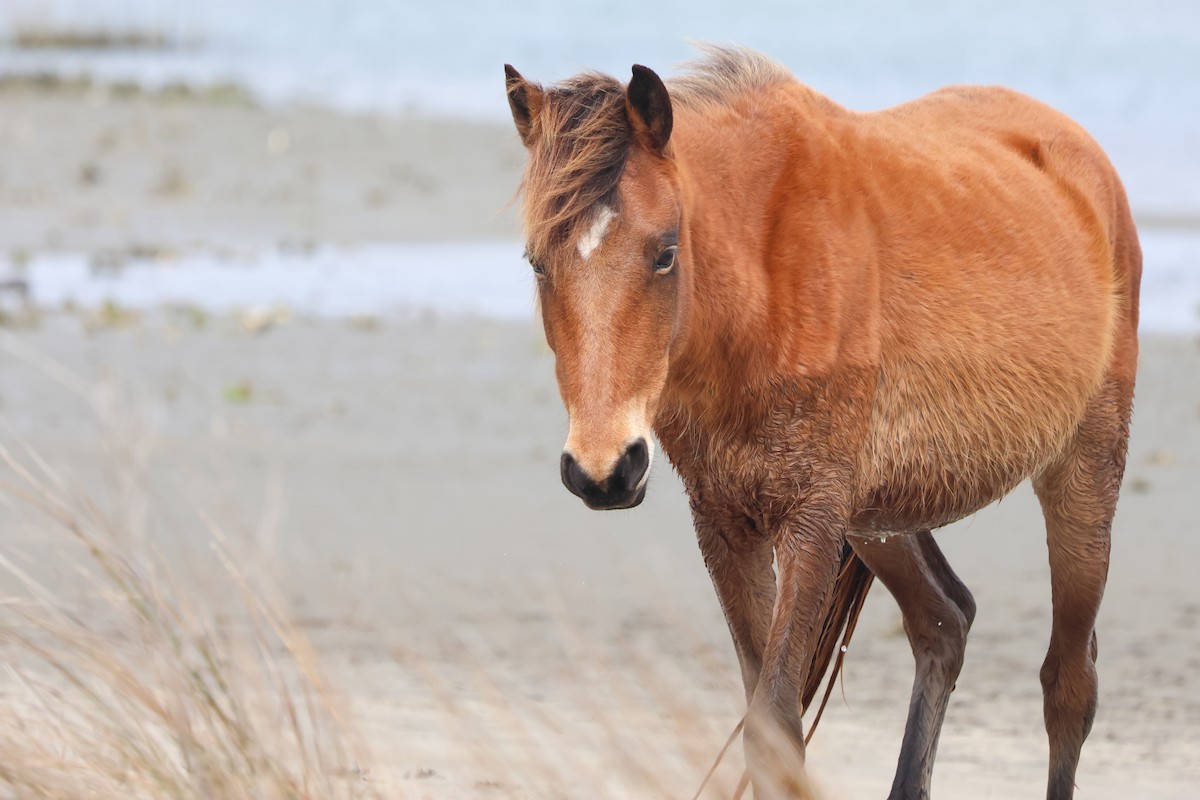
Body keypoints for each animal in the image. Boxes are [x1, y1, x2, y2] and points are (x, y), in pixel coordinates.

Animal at [504, 46, 1140, 799]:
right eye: (538, 264)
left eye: (664, 252)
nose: (603, 471)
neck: (763, 283)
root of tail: (1082, 155)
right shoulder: (726, 524)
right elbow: (769, 721)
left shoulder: (809, 522)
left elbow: (775, 720)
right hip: (877, 521)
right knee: (944, 623)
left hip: (1082, 476)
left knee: (1069, 685)